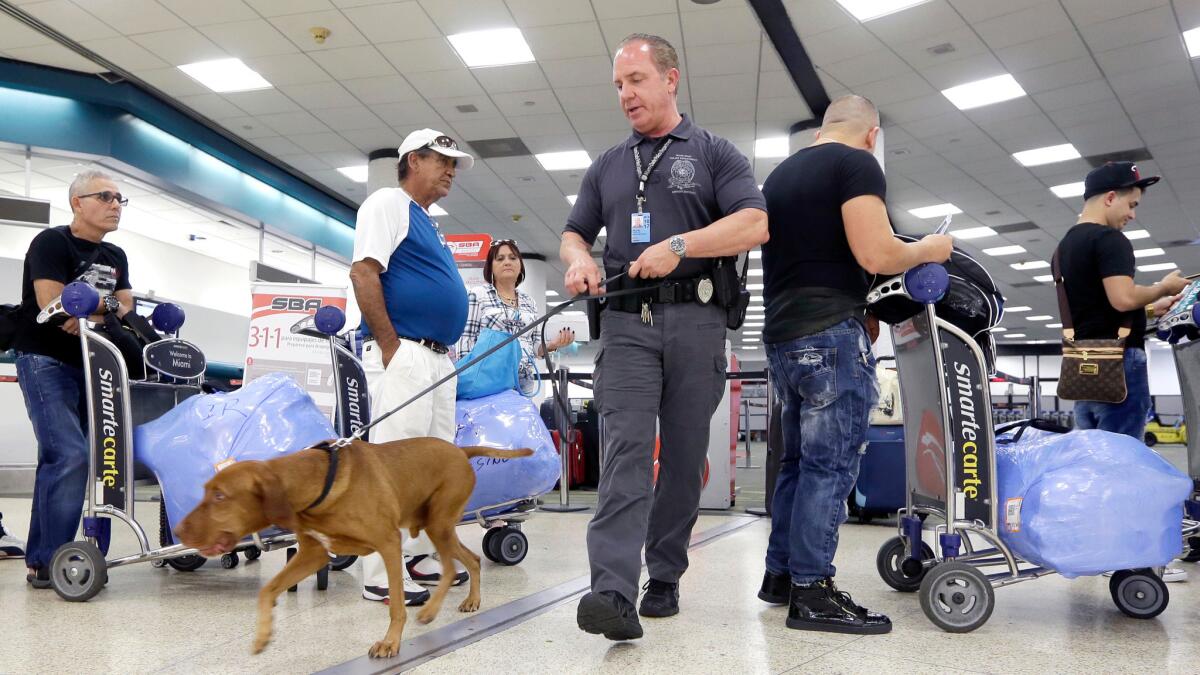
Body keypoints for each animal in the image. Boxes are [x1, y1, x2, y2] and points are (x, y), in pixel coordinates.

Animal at [175, 437, 532, 658]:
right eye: (207, 491)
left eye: (220, 496)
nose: (177, 530)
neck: (317, 482)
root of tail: (460, 450)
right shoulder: (313, 554)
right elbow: (267, 591)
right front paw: (263, 635)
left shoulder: (388, 543)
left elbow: (396, 607)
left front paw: (390, 642)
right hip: (436, 526)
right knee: (469, 559)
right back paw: (472, 600)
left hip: (439, 524)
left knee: (448, 567)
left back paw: (431, 611)